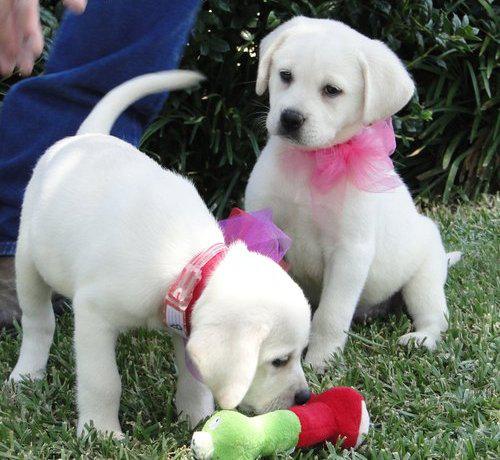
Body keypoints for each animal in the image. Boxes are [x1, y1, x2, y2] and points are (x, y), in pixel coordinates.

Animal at [9, 70, 310, 436]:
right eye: (279, 360)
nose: (305, 398)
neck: (185, 260)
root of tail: (86, 137)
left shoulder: (185, 325)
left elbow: (195, 381)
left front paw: (197, 418)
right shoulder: (93, 314)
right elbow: (103, 381)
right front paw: (101, 431)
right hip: (29, 261)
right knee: (39, 322)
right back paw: (26, 373)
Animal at [244, 17, 458, 374]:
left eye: (332, 90)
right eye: (285, 75)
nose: (290, 118)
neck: (314, 162)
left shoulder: (349, 253)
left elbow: (331, 314)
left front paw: (320, 361)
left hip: (424, 278)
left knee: (435, 316)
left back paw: (421, 339)